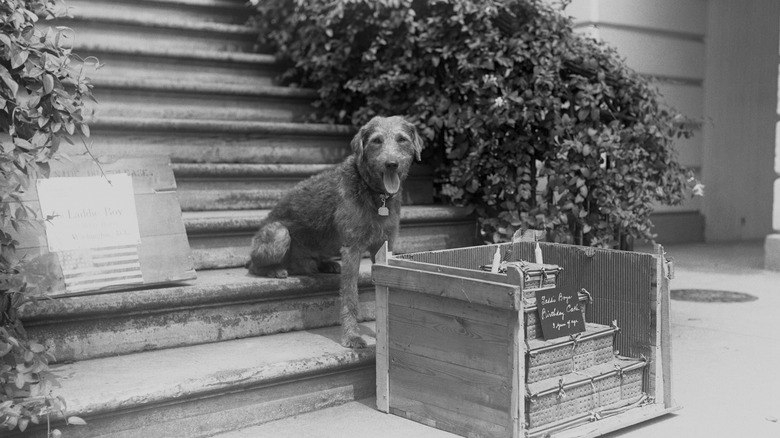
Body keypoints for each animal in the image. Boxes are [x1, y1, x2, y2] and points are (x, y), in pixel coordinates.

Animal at [248, 116, 420, 350]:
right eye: (377, 140)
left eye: (402, 139)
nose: (391, 163)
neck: (375, 194)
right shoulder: (352, 248)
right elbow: (350, 296)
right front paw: (352, 336)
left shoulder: (384, 244)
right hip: (279, 234)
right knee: (254, 265)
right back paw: (275, 270)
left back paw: (325, 265)